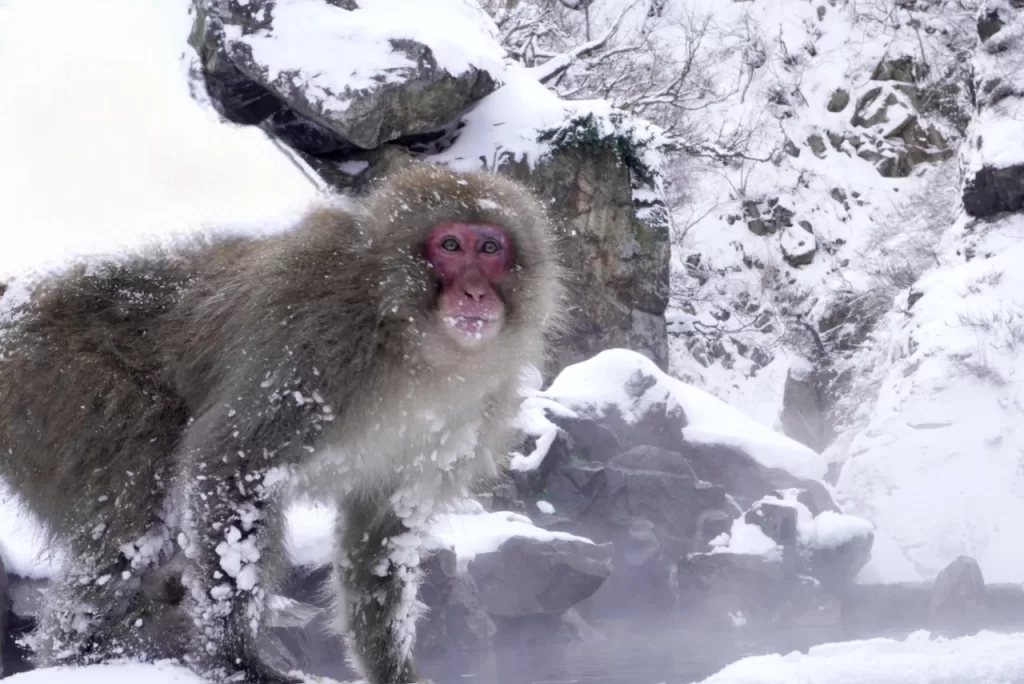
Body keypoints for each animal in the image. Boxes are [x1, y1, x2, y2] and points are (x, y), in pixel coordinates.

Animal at [0, 165, 565, 684]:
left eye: (489, 248)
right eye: (450, 245)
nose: (475, 293)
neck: (415, 346)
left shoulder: (471, 412)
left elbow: (384, 531)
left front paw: (391, 669)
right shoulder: (315, 341)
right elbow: (231, 463)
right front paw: (233, 659)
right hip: (61, 386)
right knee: (139, 518)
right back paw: (84, 652)